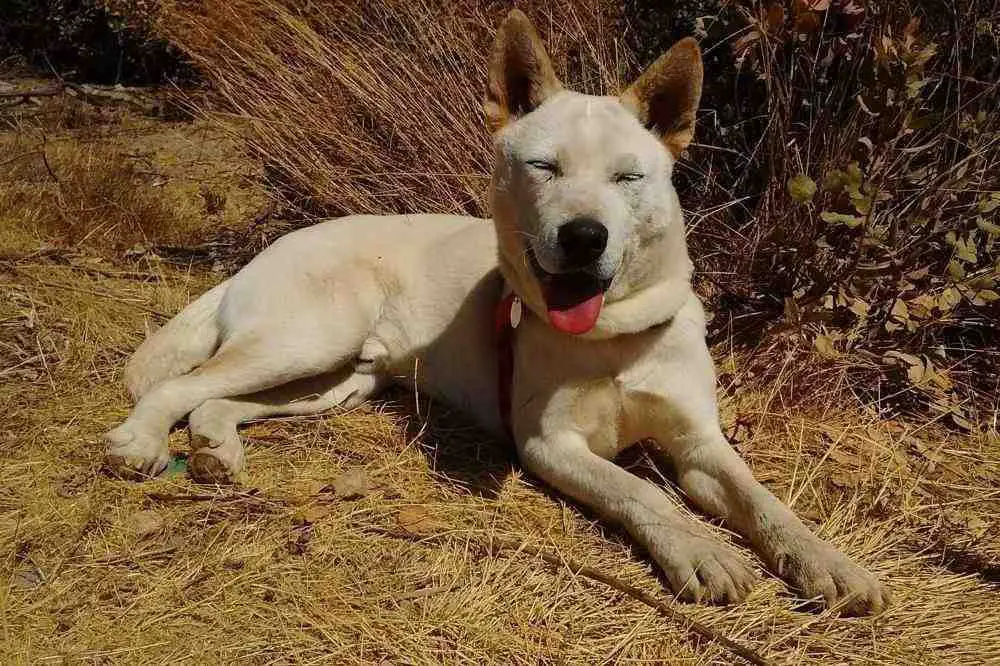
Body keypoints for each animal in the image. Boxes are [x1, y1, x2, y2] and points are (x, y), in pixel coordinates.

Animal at [101, 10, 888, 612]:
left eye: (629, 177)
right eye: (543, 167)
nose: (583, 237)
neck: (615, 336)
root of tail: (264, 251)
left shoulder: (700, 445)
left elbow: (765, 502)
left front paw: (830, 562)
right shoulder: (547, 444)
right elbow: (640, 491)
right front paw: (699, 549)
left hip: (337, 382)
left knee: (218, 400)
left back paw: (215, 447)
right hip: (308, 338)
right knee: (181, 385)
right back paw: (141, 441)